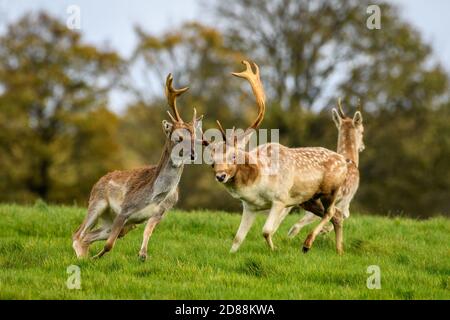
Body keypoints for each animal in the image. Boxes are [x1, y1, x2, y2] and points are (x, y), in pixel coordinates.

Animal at [72, 75, 202, 260]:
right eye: (178, 137)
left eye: (195, 138)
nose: (193, 155)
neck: (156, 194)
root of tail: (98, 181)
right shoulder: (125, 209)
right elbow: (109, 245)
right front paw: (97, 257)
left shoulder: (159, 213)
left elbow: (146, 234)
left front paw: (142, 255)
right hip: (96, 202)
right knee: (78, 234)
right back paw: (82, 258)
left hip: (117, 223)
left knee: (88, 236)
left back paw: (84, 256)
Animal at [203, 61, 348, 254]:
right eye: (211, 162)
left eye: (234, 156)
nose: (220, 176)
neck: (258, 180)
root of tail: (345, 162)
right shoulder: (249, 206)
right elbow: (237, 239)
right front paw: (231, 254)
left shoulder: (280, 199)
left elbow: (266, 231)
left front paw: (275, 249)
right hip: (309, 199)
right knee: (337, 215)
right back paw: (339, 251)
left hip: (331, 190)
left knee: (330, 212)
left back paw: (307, 244)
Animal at [288, 99, 366, 239]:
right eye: (362, 131)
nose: (363, 146)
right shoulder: (347, 199)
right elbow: (346, 215)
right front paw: (324, 231)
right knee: (296, 226)